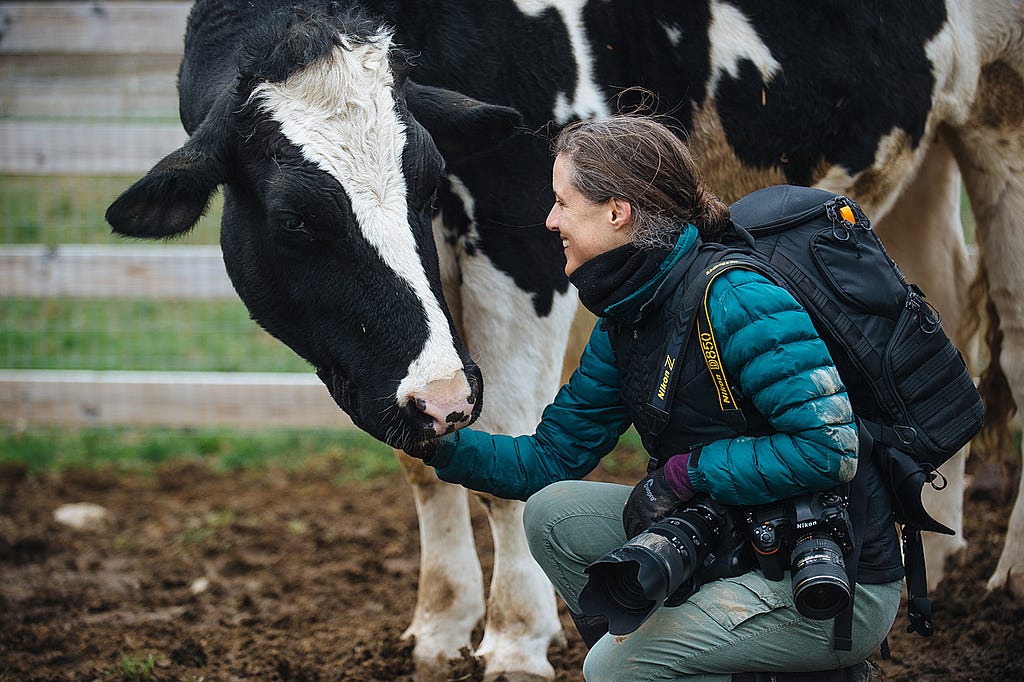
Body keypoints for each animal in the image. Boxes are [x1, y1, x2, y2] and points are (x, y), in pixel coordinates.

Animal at [105, 1, 1024, 679]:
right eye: (296, 220)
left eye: (427, 180)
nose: (441, 397)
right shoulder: (400, 366)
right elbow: (425, 459)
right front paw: (442, 622)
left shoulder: (524, 227)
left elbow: (515, 438)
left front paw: (515, 637)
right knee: (942, 317)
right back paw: (927, 558)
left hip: (1000, 117)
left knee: (1010, 340)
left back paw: (1009, 576)